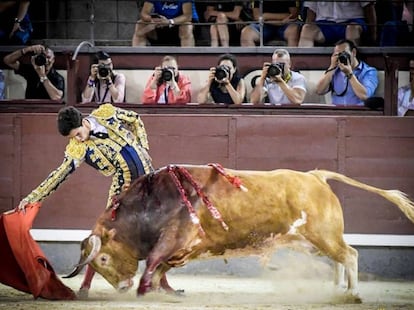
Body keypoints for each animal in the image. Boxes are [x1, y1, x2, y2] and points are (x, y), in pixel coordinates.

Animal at [64, 165, 414, 302]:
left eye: (103, 258)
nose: (122, 286)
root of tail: (315, 176)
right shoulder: (183, 249)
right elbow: (161, 266)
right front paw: (162, 290)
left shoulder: (175, 238)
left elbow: (153, 261)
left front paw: (142, 290)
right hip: (314, 240)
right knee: (341, 256)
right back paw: (338, 289)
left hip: (322, 234)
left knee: (350, 254)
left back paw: (353, 294)